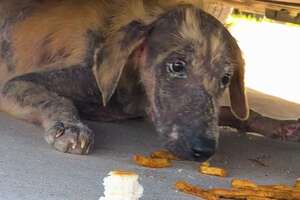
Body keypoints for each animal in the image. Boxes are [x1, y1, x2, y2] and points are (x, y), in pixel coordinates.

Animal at [0, 0, 300, 162]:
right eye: (176, 66)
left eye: (226, 78)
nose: (204, 151)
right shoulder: (15, 85)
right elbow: (56, 99)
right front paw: (70, 127)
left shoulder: (150, 112)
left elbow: (234, 113)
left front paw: (281, 126)